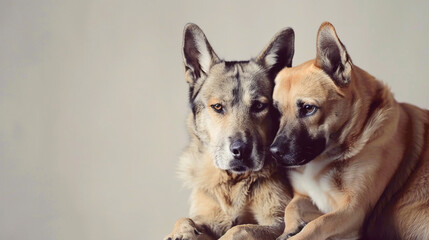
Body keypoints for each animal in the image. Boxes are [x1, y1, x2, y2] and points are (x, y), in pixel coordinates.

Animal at [164, 23, 294, 239]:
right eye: (217, 107)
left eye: (259, 106)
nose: (241, 151)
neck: (232, 182)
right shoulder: (208, 219)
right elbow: (184, 219)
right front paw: (182, 233)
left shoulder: (279, 222)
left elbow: (241, 228)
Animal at [270, 21, 428, 239]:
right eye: (277, 111)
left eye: (308, 108)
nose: (273, 152)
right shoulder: (305, 196)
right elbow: (290, 208)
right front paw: (289, 229)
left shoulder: (353, 210)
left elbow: (315, 225)